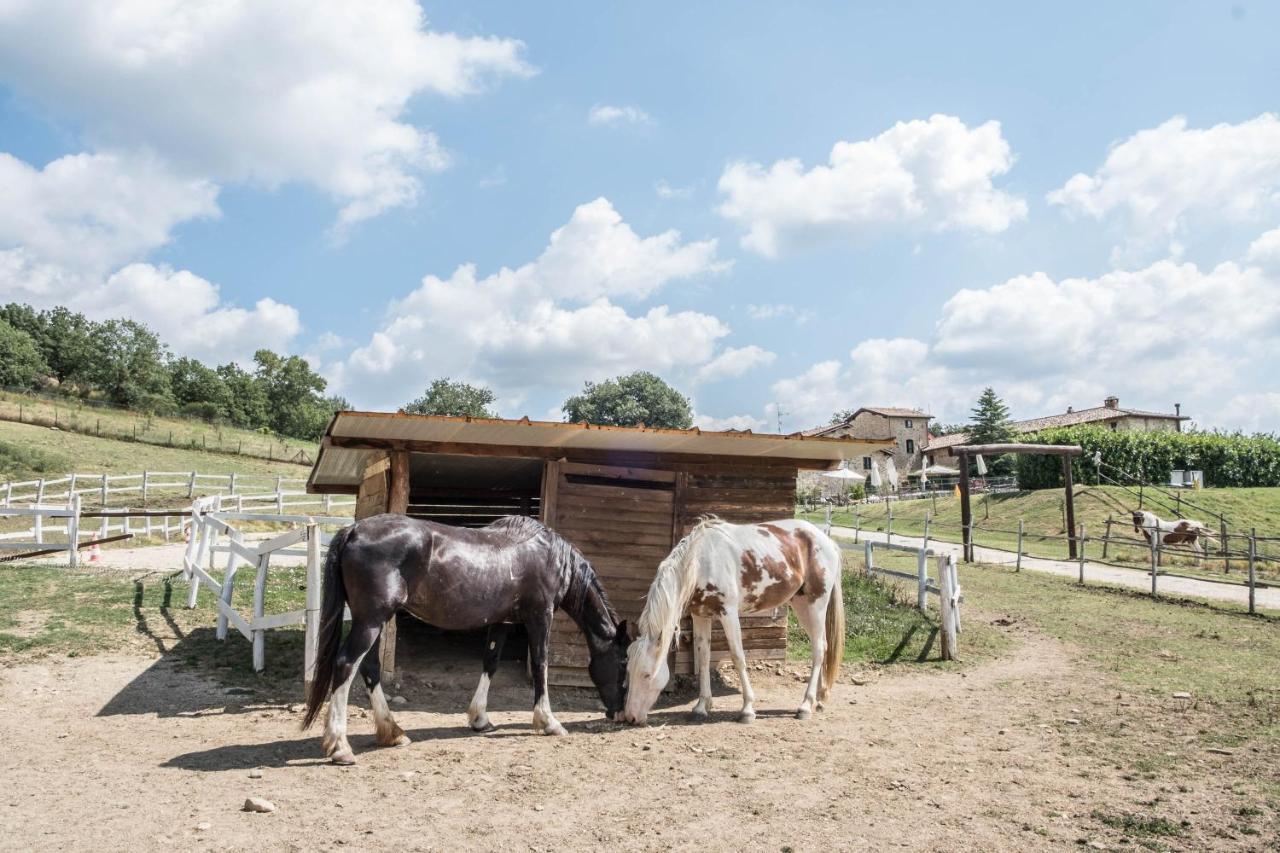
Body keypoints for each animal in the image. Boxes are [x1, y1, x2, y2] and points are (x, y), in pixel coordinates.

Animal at [300, 507, 629, 758]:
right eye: (624, 662)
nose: (619, 712)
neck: (548, 554)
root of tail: (353, 530)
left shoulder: (502, 622)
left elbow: (491, 663)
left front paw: (480, 718)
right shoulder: (540, 617)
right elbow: (540, 665)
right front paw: (549, 722)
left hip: (375, 620)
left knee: (369, 667)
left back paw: (392, 732)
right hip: (371, 620)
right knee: (346, 664)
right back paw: (339, 746)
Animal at [622, 517, 844, 722]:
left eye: (646, 674)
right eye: (628, 670)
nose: (630, 717)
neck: (700, 562)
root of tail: (827, 541)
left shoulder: (728, 613)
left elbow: (738, 657)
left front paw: (747, 709)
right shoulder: (700, 615)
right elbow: (704, 658)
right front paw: (701, 706)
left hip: (816, 605)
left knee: (818, 650)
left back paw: (805, 705)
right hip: (801, 606)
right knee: (822, 646)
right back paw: (819, 700)